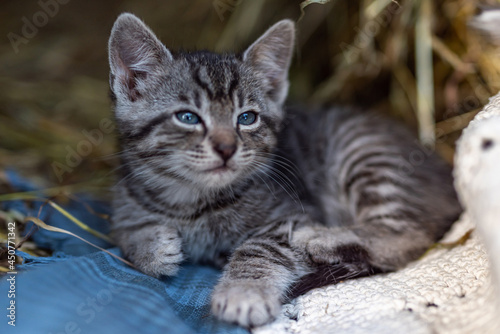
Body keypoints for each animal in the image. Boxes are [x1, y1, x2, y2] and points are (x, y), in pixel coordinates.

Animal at [108, 13, 460, 328]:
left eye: (247, 118)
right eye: (188, 117)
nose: (226, 148)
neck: (191, 201)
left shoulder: (289, 213)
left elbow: (259, 248)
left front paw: (242, 293)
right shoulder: (125, 200)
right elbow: (126, 230)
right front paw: (152, 247)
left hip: (365, 155)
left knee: (409, 233)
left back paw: (320, 238)